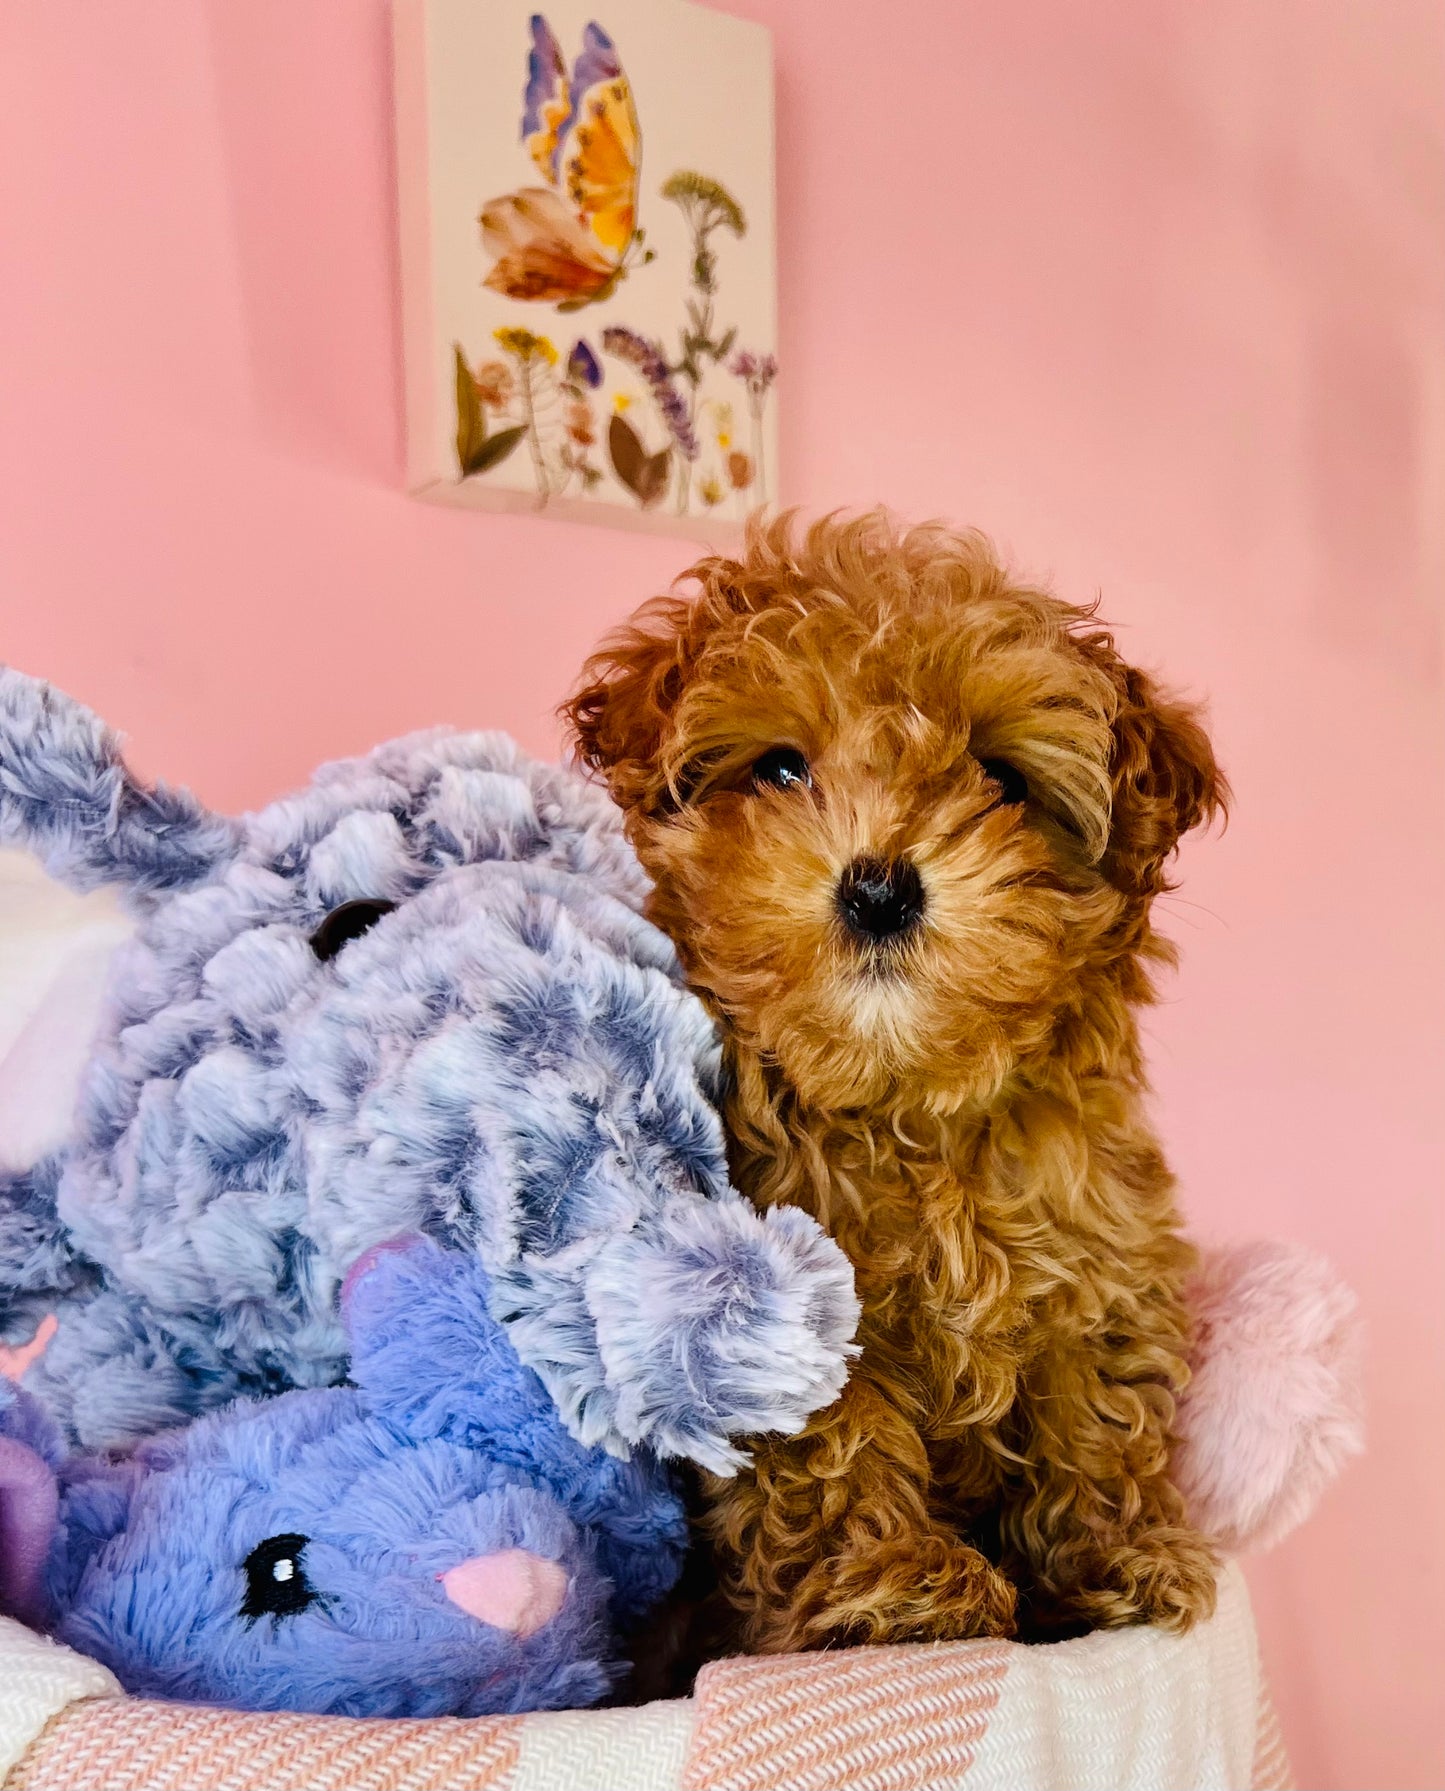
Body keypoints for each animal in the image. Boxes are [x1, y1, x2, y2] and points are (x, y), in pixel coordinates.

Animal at [565, 505, 1231, 1647]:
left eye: (1002, 782)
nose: (877, 888)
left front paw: (1116, 1557)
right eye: (782, 769)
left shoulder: (1096, 1252)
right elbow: (833, 1441)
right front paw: (899, 1585)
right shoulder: (766, 1308)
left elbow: (1090, 1406)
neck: (906, 1104)